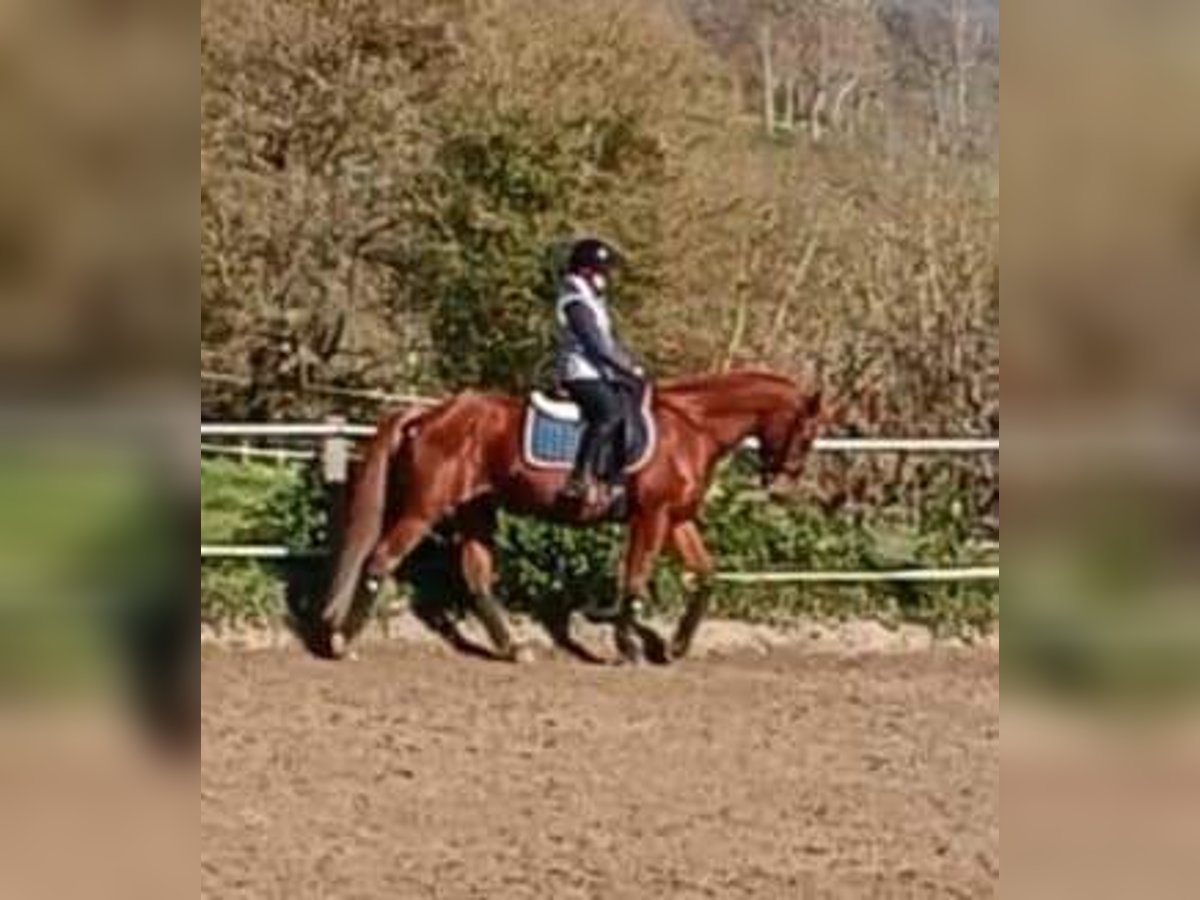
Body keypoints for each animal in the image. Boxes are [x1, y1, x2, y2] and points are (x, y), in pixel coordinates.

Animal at [319, 369, 825, 667]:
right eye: (806, 434)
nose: (782, 488)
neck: (692, 427)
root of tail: (433, 412)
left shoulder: (678, 519)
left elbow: (705, 576)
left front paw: (675, 647)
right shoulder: (651, 516)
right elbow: (634, 582)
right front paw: (627, 649)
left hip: (475, 509)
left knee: (476, 574)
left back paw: (514, 648)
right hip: (423, 508)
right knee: (380, 560)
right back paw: (342, 642)